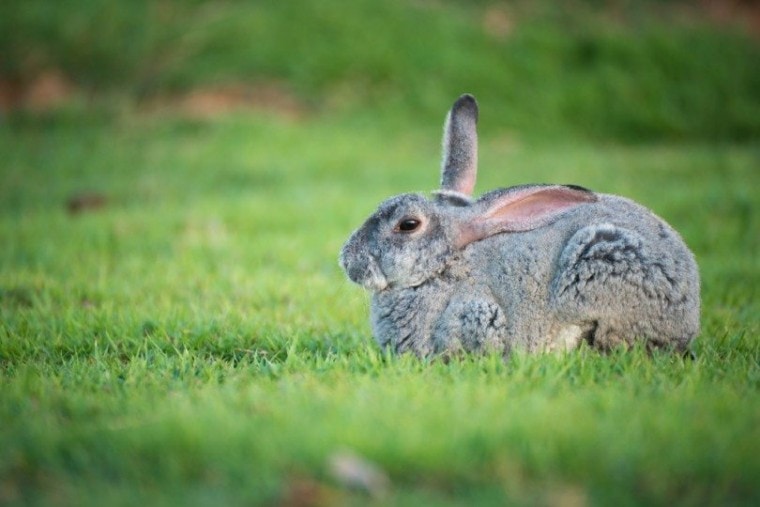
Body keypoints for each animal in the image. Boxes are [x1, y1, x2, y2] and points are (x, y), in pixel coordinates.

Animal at [338, 95, 700, 358]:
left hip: (599, 261)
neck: (444, 266)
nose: (347, 261)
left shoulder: (479, 314)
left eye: (408, 224)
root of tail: (689, 310)